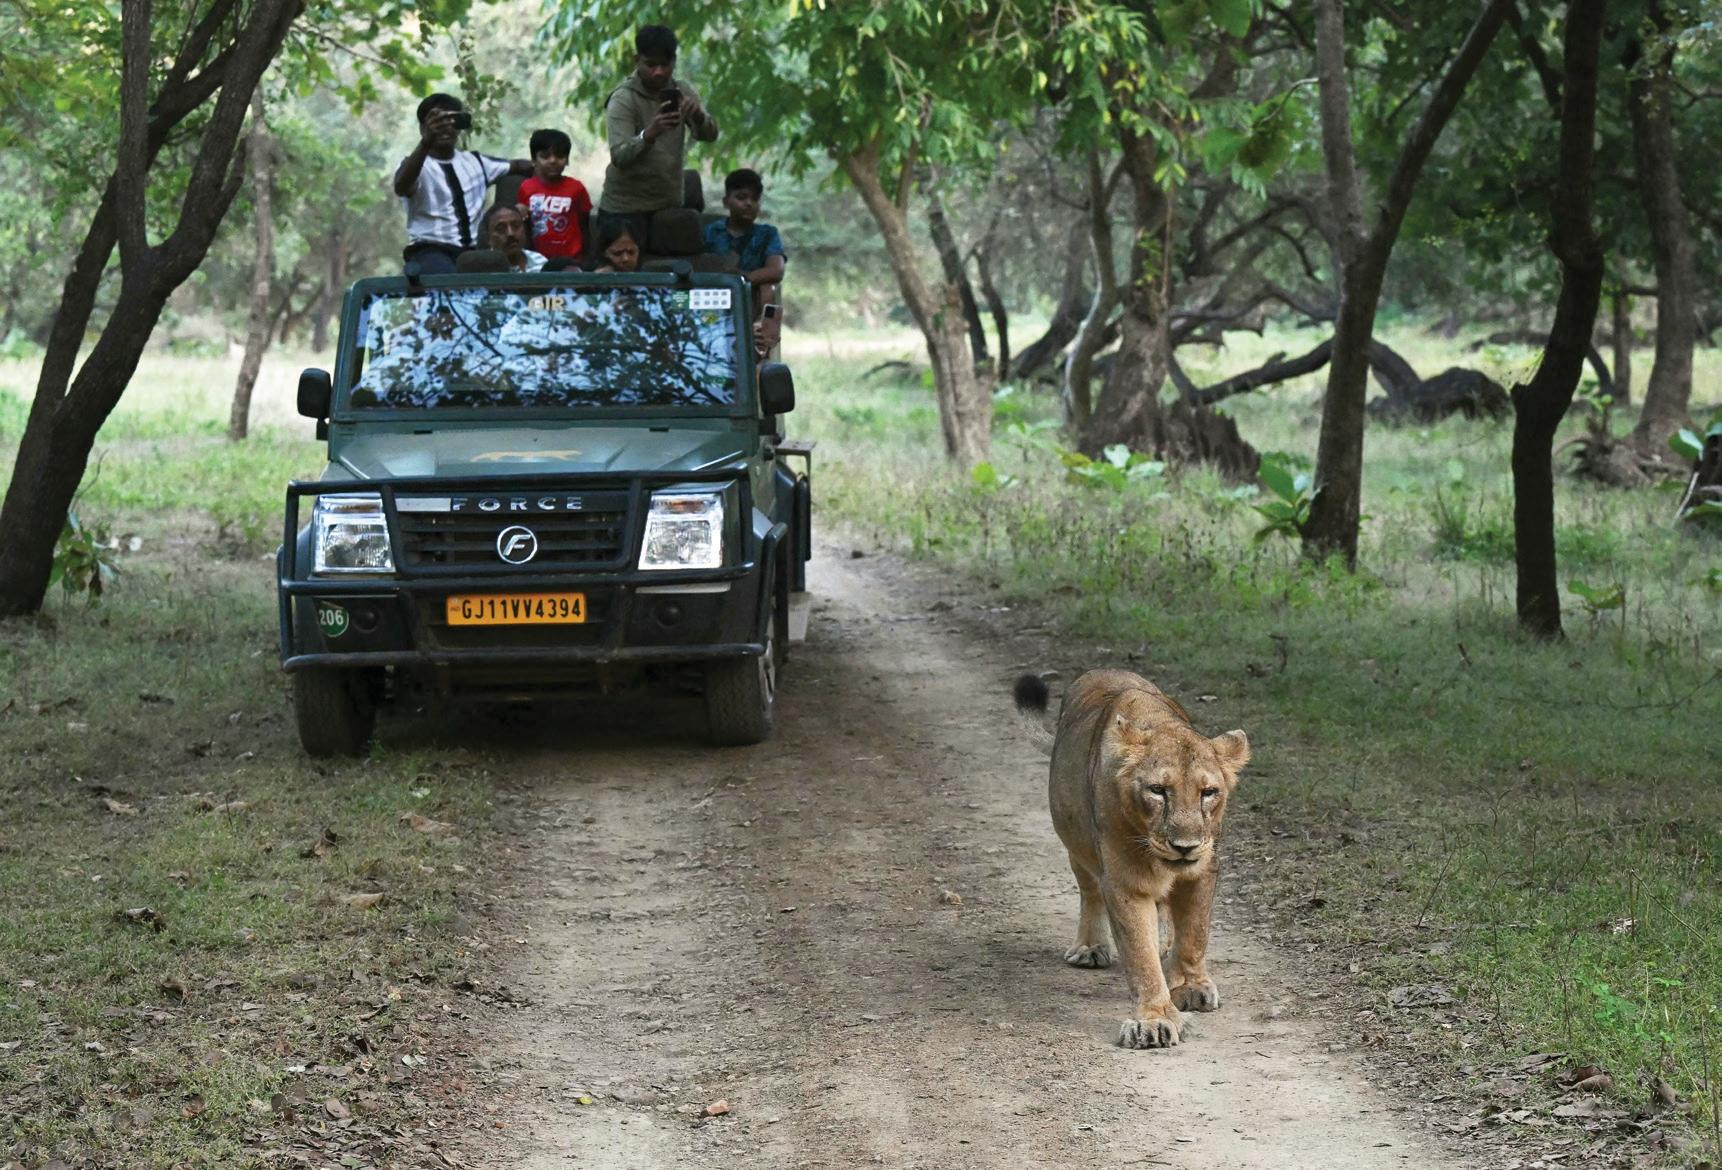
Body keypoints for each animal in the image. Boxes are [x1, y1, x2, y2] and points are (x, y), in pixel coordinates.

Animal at [1015, 670, 1249, 1049]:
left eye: (1208, 792)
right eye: (1158, 790)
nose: (1184, 846)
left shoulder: (1202, 869)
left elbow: (1194, 933)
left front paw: (1190, 985)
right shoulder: (1126, 880)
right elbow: (1140, 954)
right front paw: (1154, 1020)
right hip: (1076, 841)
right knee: (1090, 893)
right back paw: (1090, 947)